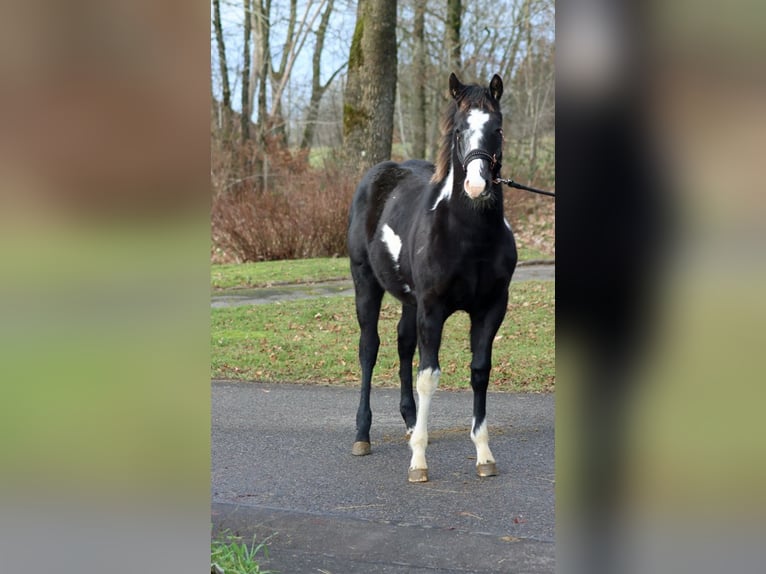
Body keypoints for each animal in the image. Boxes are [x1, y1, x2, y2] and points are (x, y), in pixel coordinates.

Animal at [346, 73, 517, 483]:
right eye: (458, 131)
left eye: (497, 129)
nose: (476, 186)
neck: (468, 238)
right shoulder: (433, 309)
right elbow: (429, 376)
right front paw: (418, 462)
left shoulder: (491, 309)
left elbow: (479, 371)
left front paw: (484, 455)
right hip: (366, 285)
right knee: (369, 349)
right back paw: (363, 435)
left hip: (410, 301)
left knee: (403, 344)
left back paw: (410, 423)